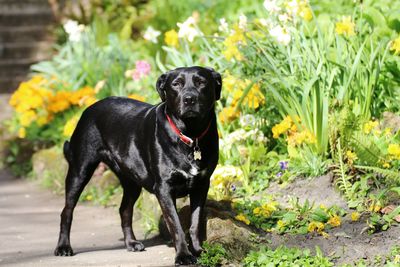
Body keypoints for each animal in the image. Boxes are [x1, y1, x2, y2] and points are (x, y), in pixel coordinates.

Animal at [54, 66, 220, 266]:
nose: (189, 99)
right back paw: (63, 247)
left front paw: (198, 251)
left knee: (124, 210)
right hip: (80, 170)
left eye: (201, 82)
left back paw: (131, 243)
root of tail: (91, 107)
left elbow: (195, 223)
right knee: (67, 211)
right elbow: (176, 225)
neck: (191, 136)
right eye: (176, 84)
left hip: (132, 182)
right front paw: (183, 255)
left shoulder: (201, 186)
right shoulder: (164, 189)